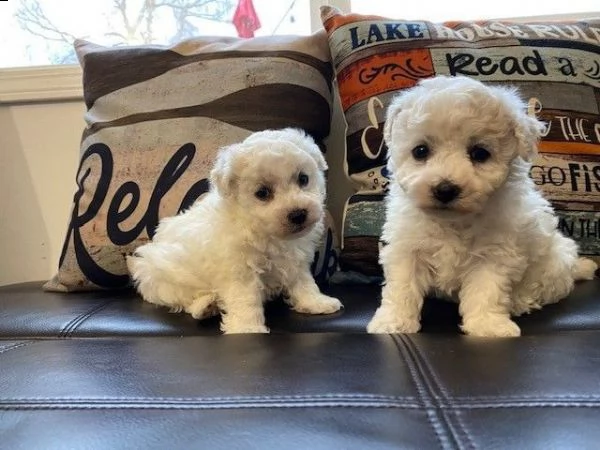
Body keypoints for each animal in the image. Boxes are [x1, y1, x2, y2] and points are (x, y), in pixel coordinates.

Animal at [126, 128, 342, 332]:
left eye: (303, 179)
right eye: (262, 193)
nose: (298, 214)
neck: (266, 232)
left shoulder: (296, 259)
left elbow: (304, 282)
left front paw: (316, 302)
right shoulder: (239, 268)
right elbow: (245, 298)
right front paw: (248, 328)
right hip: (161, 277)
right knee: (181, 298)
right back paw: (204, 306)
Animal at [368, 75, 596, 338]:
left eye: (480, 153)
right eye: (420, 151)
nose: (445, 189)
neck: (453, 221)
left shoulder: (496, 252)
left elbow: (488, 289)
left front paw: (488, 326)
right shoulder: (407, 248)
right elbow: (402, 286)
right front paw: (393, 322)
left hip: (553, 262)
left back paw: (518, 302)